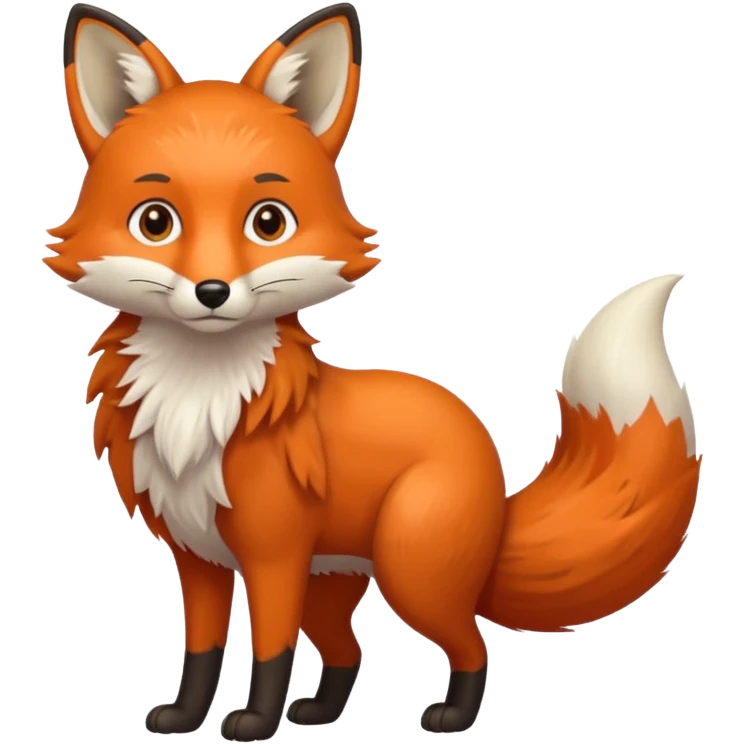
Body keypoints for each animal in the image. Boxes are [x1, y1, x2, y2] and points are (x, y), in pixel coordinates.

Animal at [45, 2, 703, 740]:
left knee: (471, 644)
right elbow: (202, 650)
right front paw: (186, 717)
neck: (200, 398)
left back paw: (451, 715)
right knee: (349, 651)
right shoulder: (200, 558)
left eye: (268, 222)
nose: (212, 292)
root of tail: (495, 480)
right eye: (155, 221)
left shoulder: (274, 555)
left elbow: (269, 650)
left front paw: (255, 723)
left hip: (410, 571)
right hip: (335, 583)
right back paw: (321, 712)